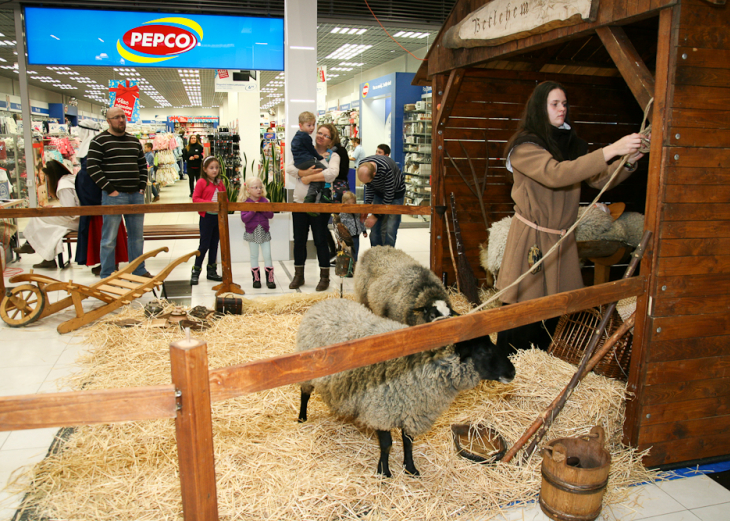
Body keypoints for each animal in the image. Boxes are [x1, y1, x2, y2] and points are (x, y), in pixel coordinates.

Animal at [292, 296, 516, 476]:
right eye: (484, 351)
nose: (512, 372)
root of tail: (324, 303)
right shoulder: (381, 410)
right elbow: (386, 445)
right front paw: (384, 472)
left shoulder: (412, 410)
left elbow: (408, 442)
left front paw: (410, 468)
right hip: (307, 375)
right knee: (304, 394)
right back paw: (302, 417)